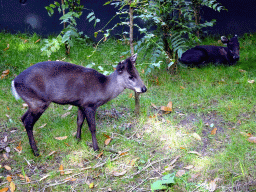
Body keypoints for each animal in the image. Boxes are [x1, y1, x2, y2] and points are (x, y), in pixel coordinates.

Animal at [12, 54, 147, 156]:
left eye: (137, 73)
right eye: (130, 76)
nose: (144, 88)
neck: (103, 87)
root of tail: (14, 82)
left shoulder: (80, 104)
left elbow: (79, 121)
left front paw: (77, 139)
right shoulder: (89, 104)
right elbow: (92, 127)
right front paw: (96, 148)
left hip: (33, 102)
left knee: (22, 118)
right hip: (39, 102)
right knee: (28, 122)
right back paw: (36, 151)